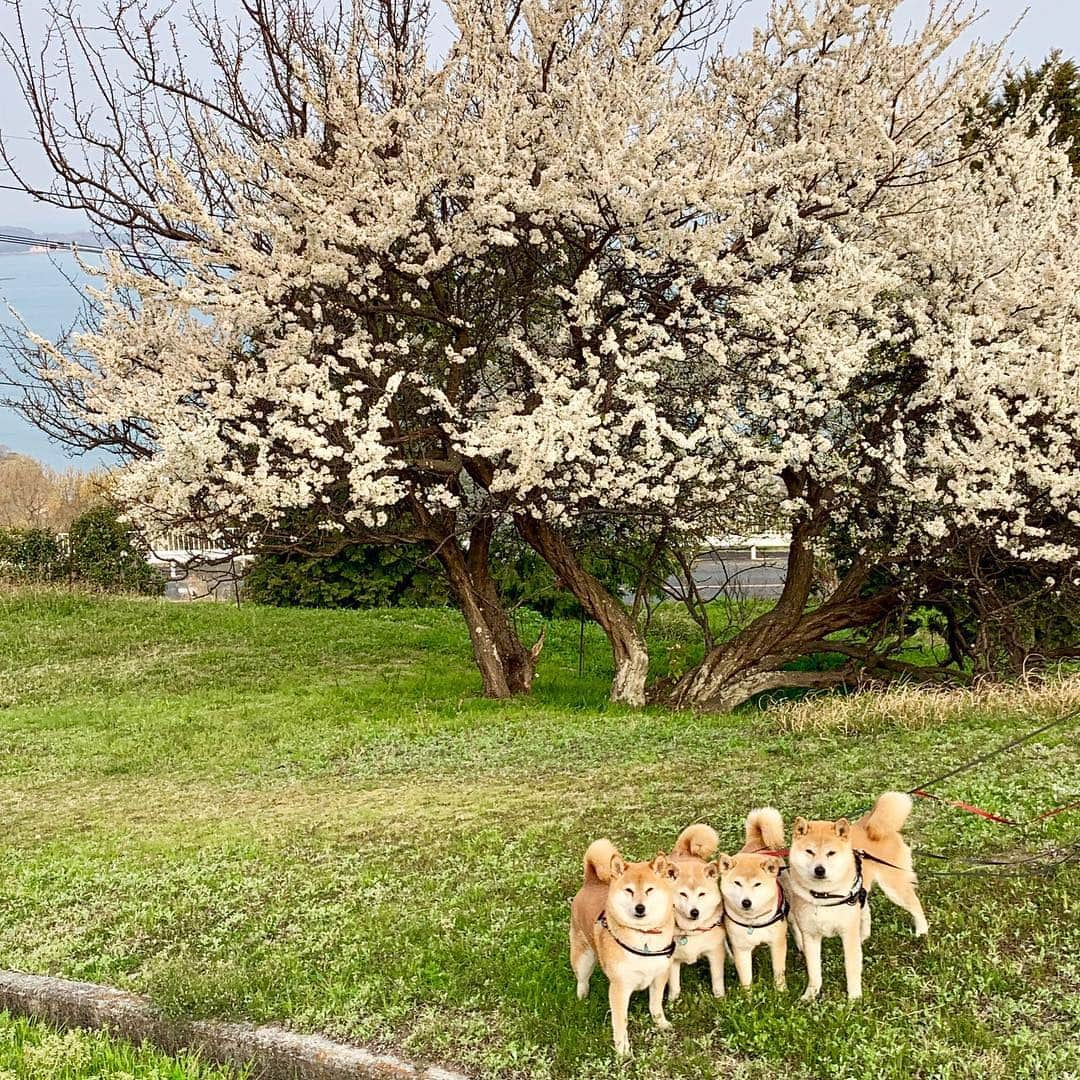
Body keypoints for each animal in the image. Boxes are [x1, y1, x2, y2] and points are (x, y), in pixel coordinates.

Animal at [570, 838, 669, 1058]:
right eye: (629, 890)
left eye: (649, 890)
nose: (640, 908)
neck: (643, 938)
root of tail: (590, 881)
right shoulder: (619, 988)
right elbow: (620, 1022)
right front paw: (623, 1050)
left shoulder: (659, 976)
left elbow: (655, 1004)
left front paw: (662, 1024)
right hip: (583, 956)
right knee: (582, 979)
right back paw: (582, 998)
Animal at [665, 825, 725, 1002]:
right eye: (683, 894)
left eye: (702, 894)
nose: (694, 911)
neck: (690, 931)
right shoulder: (671, 959)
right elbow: (674, 985)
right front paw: (672, 1002)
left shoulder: (715, 952)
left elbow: (717, 979)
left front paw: (720, 998)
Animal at [721, 807, 790, 989]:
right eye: (737, 883)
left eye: (757, 884)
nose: (746, 902)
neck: (754, 922)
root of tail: (757, 840)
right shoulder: (741, 948)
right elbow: (746, 977)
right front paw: (748, 995)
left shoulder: (777, 942)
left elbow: (779, 971)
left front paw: (781, 991)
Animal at [786, 790, 928, 997]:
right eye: (809, 851)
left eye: (831, 853)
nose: (820, 870)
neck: (823, 897)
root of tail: (869, 823)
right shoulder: (810, 936)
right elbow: (814, 971)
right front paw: (810, 995)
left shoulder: (847, 934)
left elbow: (851, 967)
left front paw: (854, 997)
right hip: (861, 894)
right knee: (866, 910)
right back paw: (864, 936)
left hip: (894, 888)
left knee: (915, 904)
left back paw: (922, 931)